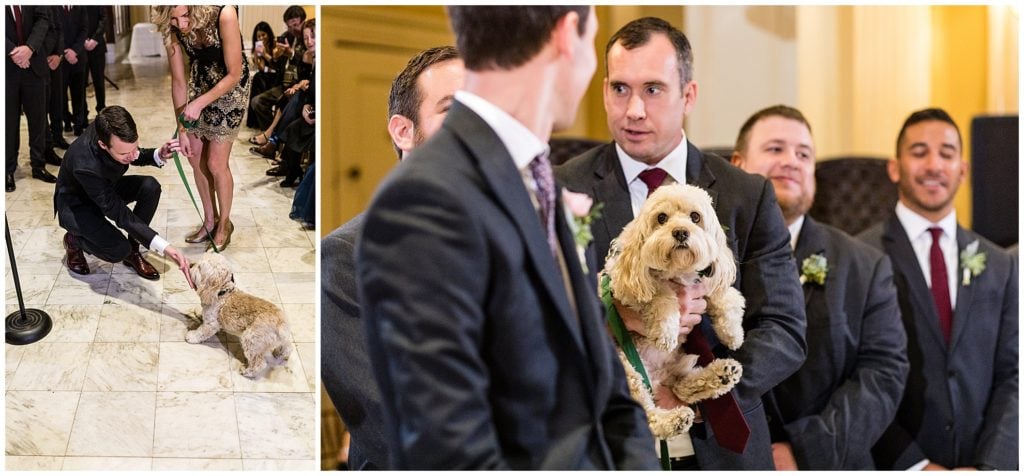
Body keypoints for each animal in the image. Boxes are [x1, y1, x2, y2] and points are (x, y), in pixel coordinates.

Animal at [602, 182, 749, 438]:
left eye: (695, 217)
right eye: (662, 218)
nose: (680, 232)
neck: (678, 272)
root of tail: (657, 378)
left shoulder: (707, 280)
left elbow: (725, 296)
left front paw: (733, 333)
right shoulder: (622, 285)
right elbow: (661, 294)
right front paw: (666, 331)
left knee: (682, 387)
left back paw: (721, 374)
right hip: (626, 369)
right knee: (648, 413)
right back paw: (672, 419)